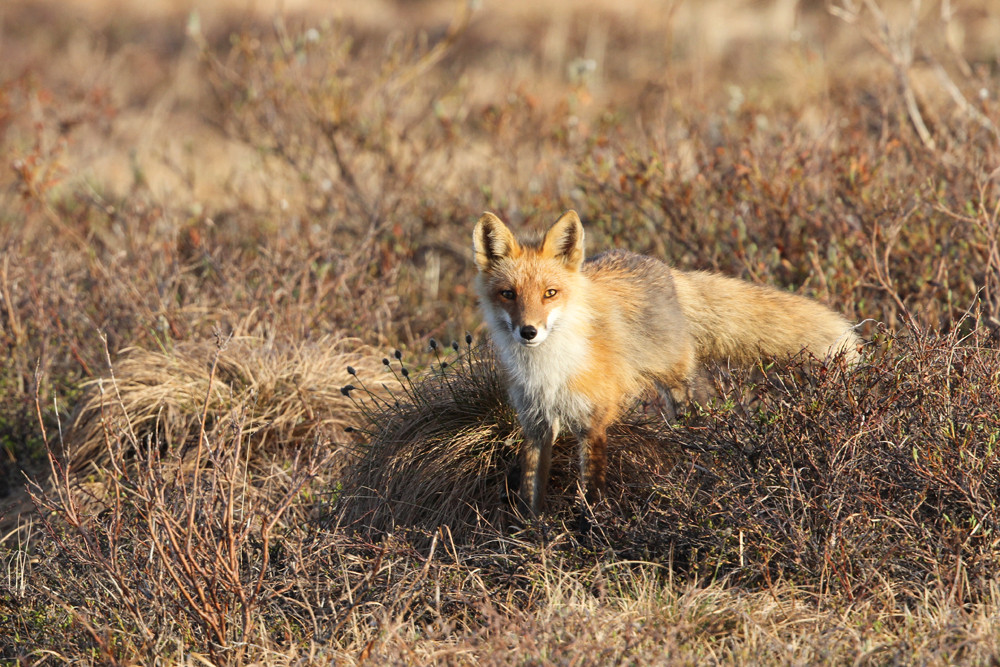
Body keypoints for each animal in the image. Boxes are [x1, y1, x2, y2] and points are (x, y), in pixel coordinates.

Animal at [470, 209, 860, 516]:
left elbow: (592, 490)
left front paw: (590, 531)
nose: (528, 331)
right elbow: (530, 492)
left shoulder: (593, 423)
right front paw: (528, 536)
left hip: (679, 388)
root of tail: (664, 268)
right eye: (508, 294)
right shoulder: (535, 425)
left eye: (550, 293)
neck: (548, 370)